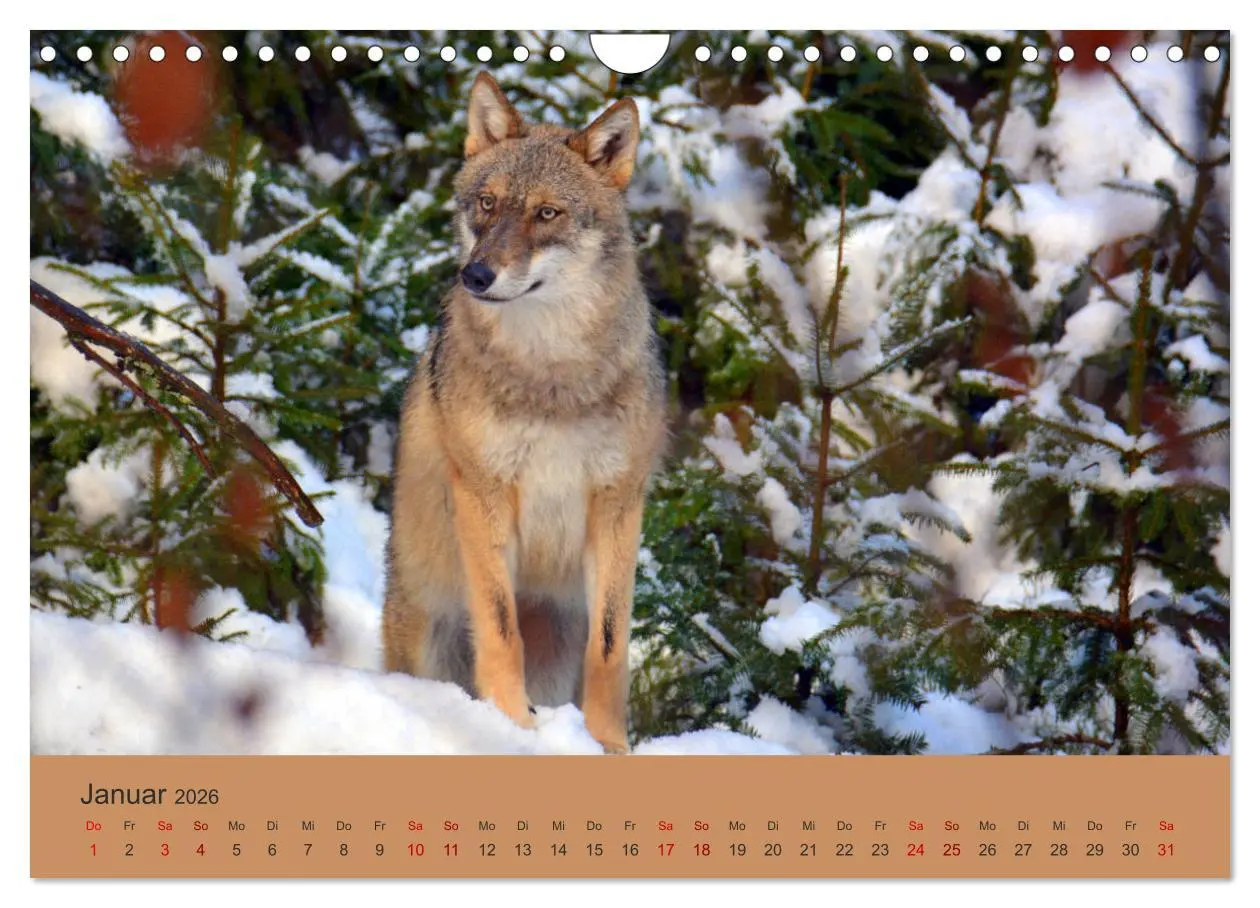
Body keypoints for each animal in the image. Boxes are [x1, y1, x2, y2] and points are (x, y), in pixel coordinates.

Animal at [382, 73, 668, 754]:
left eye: (546, 213)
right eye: (487, 204)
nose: (476, 275)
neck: (550, 376)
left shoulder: (618, 503)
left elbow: (611, 648)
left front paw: (607, 746)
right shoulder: (483, 492)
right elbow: (500, 627)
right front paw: (513, 728)